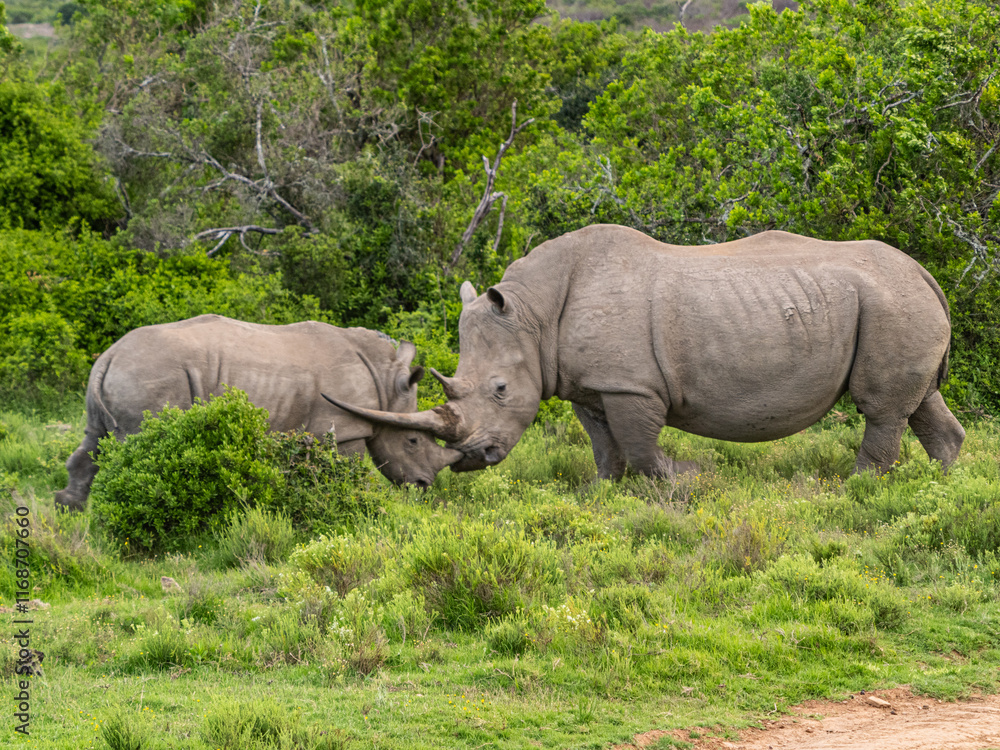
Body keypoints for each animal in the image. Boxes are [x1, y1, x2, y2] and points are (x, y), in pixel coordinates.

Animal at [53, 312, 460, 512]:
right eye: (412, 441)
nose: (424, 485)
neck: (385, 380)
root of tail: (107, 356)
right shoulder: (344, 426)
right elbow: (350, 475)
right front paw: (362, 506)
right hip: (151, 376)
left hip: (120, 378)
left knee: (95, 439)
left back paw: (68, 510)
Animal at [324, 225, 964, 482]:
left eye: (501, 390)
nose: (469, 459)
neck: (534, 314)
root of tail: (927, 274)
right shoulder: (591, 385)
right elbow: (604, 446)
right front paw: (604, 493)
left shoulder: (631, 384)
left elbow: (638, 443)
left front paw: (686, 481)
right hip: (898, 303)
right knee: (920, 402)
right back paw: (942, 486)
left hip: (891, 304)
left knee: (881, 407)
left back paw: (857, 490)